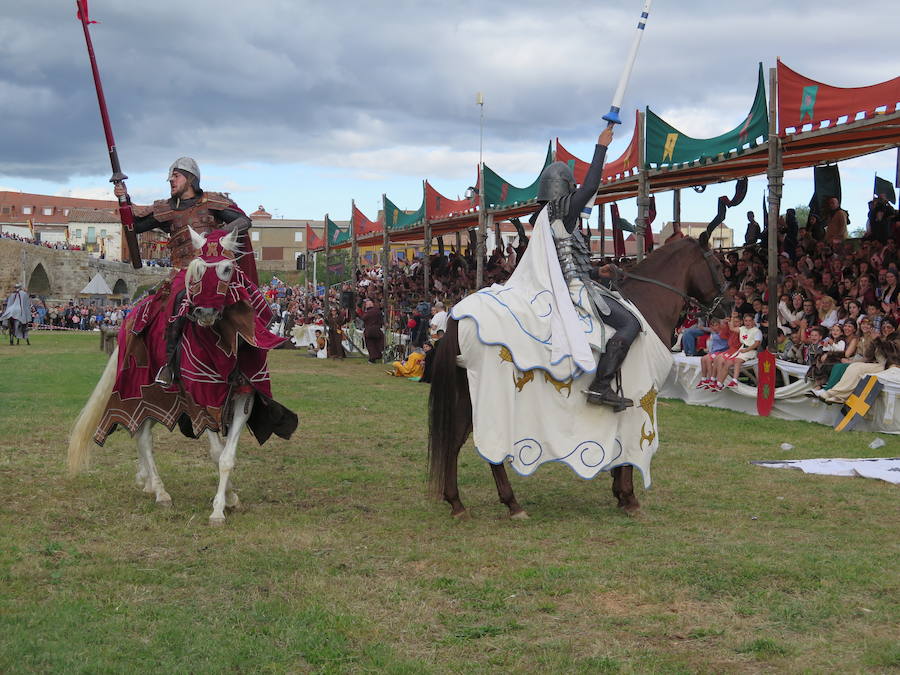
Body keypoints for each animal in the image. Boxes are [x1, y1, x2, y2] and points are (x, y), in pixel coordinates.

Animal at [426, 232, 728, 516]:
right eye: (715, 264)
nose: (727, 306)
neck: (647, 306)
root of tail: (459, 315)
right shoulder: (640, 396)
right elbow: (630, 455)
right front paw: (629, 498)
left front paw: (620, 494)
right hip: (491, 393)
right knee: (490, 448)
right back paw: (512, 504)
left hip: (468, 391)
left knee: (454, 441)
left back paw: (458, 503)